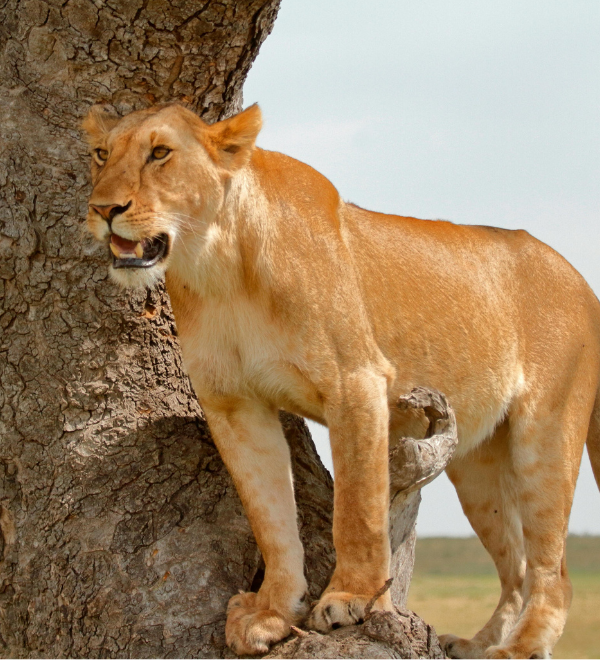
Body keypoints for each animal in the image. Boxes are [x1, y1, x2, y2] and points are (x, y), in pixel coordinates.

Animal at [83, 102, 600, 659]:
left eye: (160, 153)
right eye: (101, 154)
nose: (103, 208)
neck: (217, 267)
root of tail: (583, 282)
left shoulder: (355, 383)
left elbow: (358, 508)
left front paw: (350, 599)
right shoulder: (233, 404)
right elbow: (269, 518)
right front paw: (272, 611)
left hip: (545, 434)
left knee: (554, 572)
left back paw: (516, 648)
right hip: (476, 468)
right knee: (517, 567)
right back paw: (476, 644)